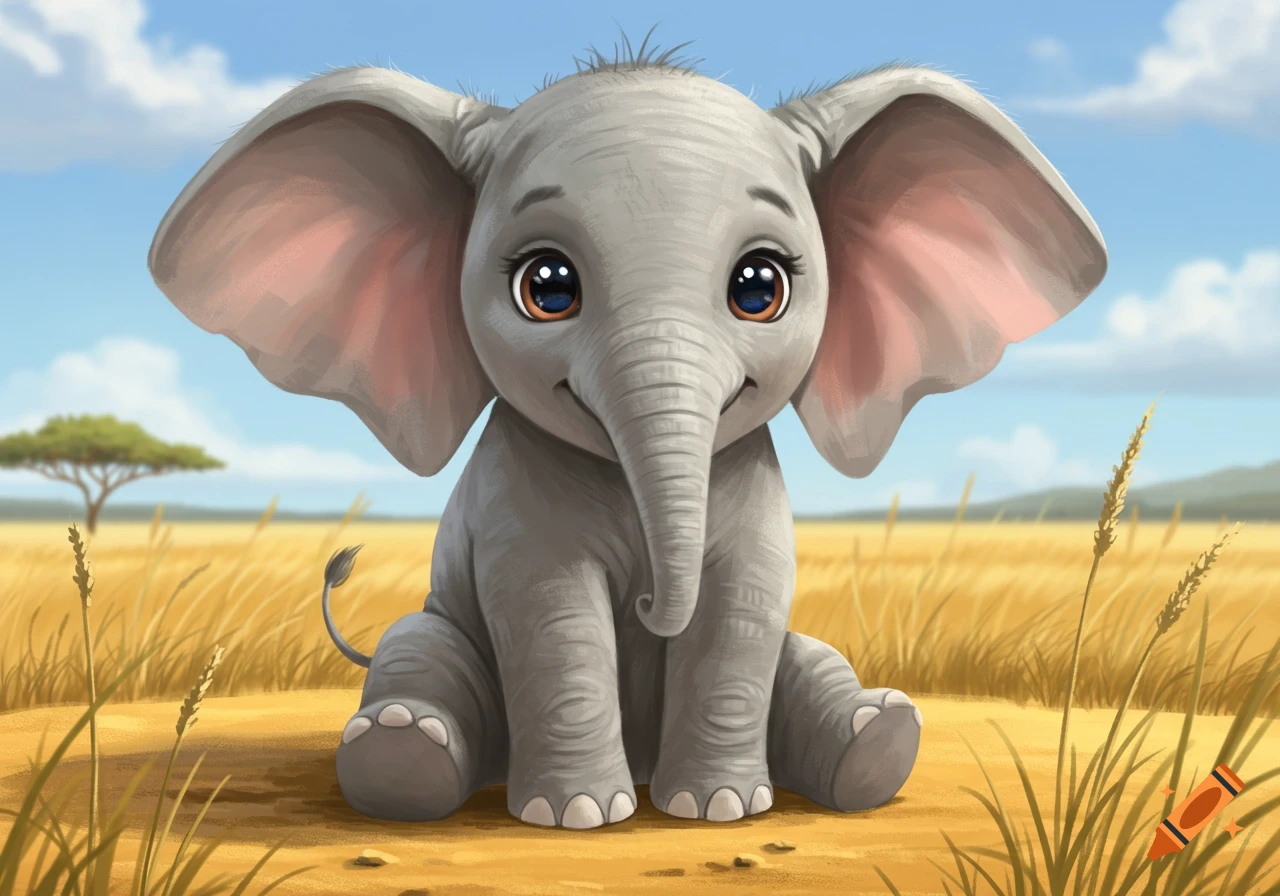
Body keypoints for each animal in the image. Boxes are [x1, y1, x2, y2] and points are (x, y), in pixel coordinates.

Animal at [147, 49, 1106, 829]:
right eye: (547, 286)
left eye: (760, 287)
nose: (646, 601)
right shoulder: (519, 502)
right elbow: (552, 611)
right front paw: (576, 817)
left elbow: (744, 604)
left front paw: (718, 809)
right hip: (427, 634)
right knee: (416, 652)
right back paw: (404, 752)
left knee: (807, 656)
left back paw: (877, 737)